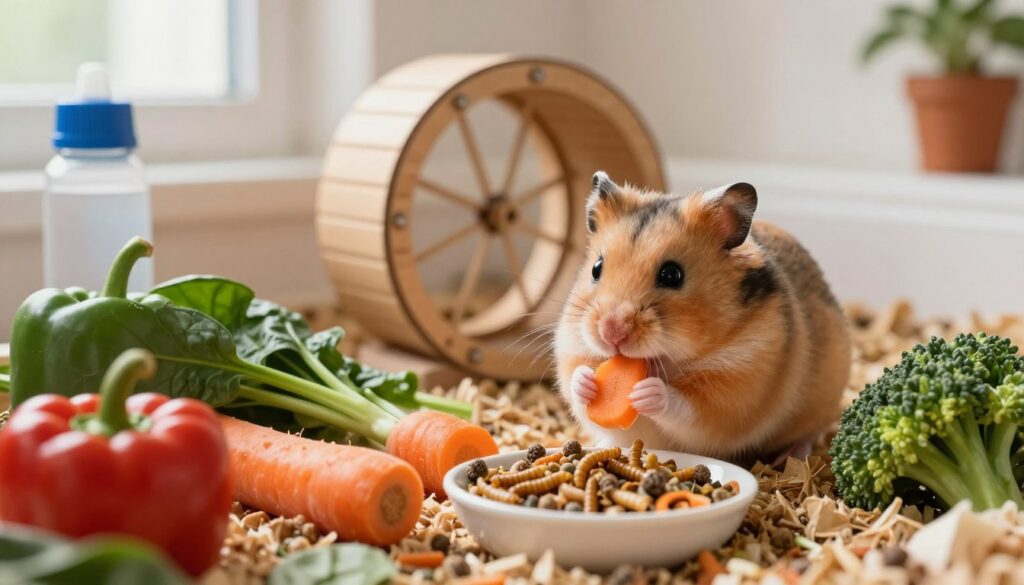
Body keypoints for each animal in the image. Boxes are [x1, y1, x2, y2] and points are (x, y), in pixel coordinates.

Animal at [554, 172, 850, 463]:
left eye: (672, 275)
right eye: (596, 268)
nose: (611, 332)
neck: (665, 360)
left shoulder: (738, 385)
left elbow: (688, 407)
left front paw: (647, 392)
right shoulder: (572, 348)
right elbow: (576, 382)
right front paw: (586, 381)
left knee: (812, 432)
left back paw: (792, 456)